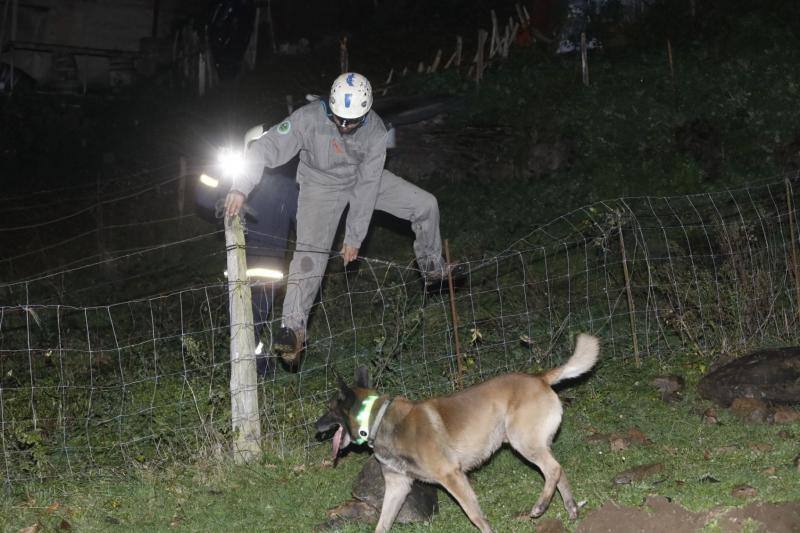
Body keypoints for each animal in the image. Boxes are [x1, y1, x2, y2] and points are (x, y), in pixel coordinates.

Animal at [314, 330, 600, 528]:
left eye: (329, 409)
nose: (315, 427)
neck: (378, 418)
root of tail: (539, 377)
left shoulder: (452, 475)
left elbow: (476, 515)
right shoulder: (398, 486)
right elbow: (382, 525)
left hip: (523, 442)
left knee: (553, 470)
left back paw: (540, 506)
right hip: (533, 443)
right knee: (559, 470)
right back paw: (571, 509)